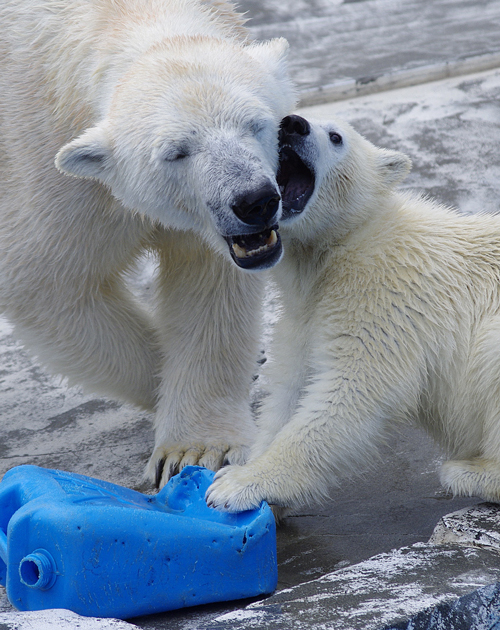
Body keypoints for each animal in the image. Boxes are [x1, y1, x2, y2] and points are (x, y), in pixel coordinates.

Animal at [0, 0, 296, 488]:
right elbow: (50, 285)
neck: (117, 15)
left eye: (256, 123)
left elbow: (209, 287)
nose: (253, 200)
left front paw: (199, 448)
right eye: (176, 151)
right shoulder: (43, 163)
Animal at [206, 113, 500, 516]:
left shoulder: (386, 294)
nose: (292, 124)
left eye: (336, 137)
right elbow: (294, 386)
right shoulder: (305, 312)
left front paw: (236, 484)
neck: (345, 244)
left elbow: (355, 387)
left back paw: (466, 472)